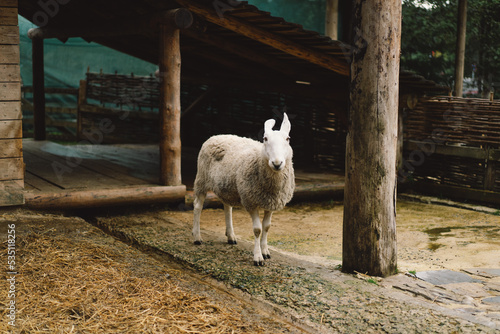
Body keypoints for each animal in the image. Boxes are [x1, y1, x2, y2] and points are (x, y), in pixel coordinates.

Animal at [190, 113, 292, 264]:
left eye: (288, 139)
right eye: (265, 138)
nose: (277, 163)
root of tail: (217, 135)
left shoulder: (271, 203)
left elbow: (266, 227)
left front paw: (265, 251)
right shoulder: (251, 201)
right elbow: (257, 229)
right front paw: (258, 257)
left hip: (226, 186)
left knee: (227, 207)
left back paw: (231, 236)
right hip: (202, 179)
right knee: (197, 206)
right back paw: (197, 237)